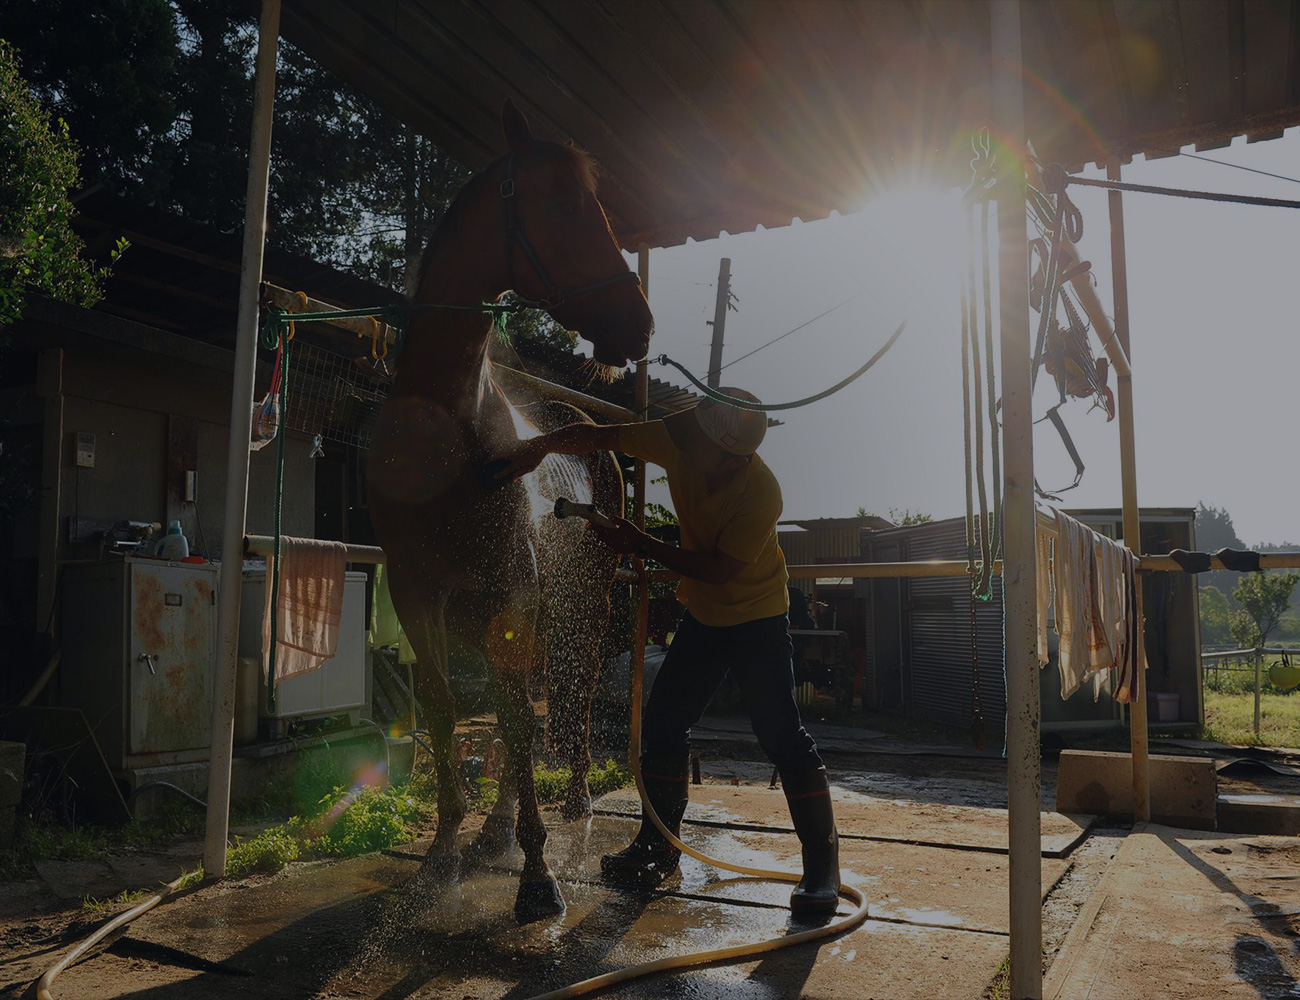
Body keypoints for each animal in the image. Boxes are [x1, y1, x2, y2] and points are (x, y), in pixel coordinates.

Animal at [367, 99, 653, 922]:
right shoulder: (419, 594)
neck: (445, 434)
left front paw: (538, 875)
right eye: (564, 206)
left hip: (582, 602)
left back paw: (575, 804)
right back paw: (494, 830)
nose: (639, 324)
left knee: (564, 694)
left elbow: (522, 723)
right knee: (515, 704)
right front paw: (441, 856)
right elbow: (445, 710)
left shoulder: (511, 591)